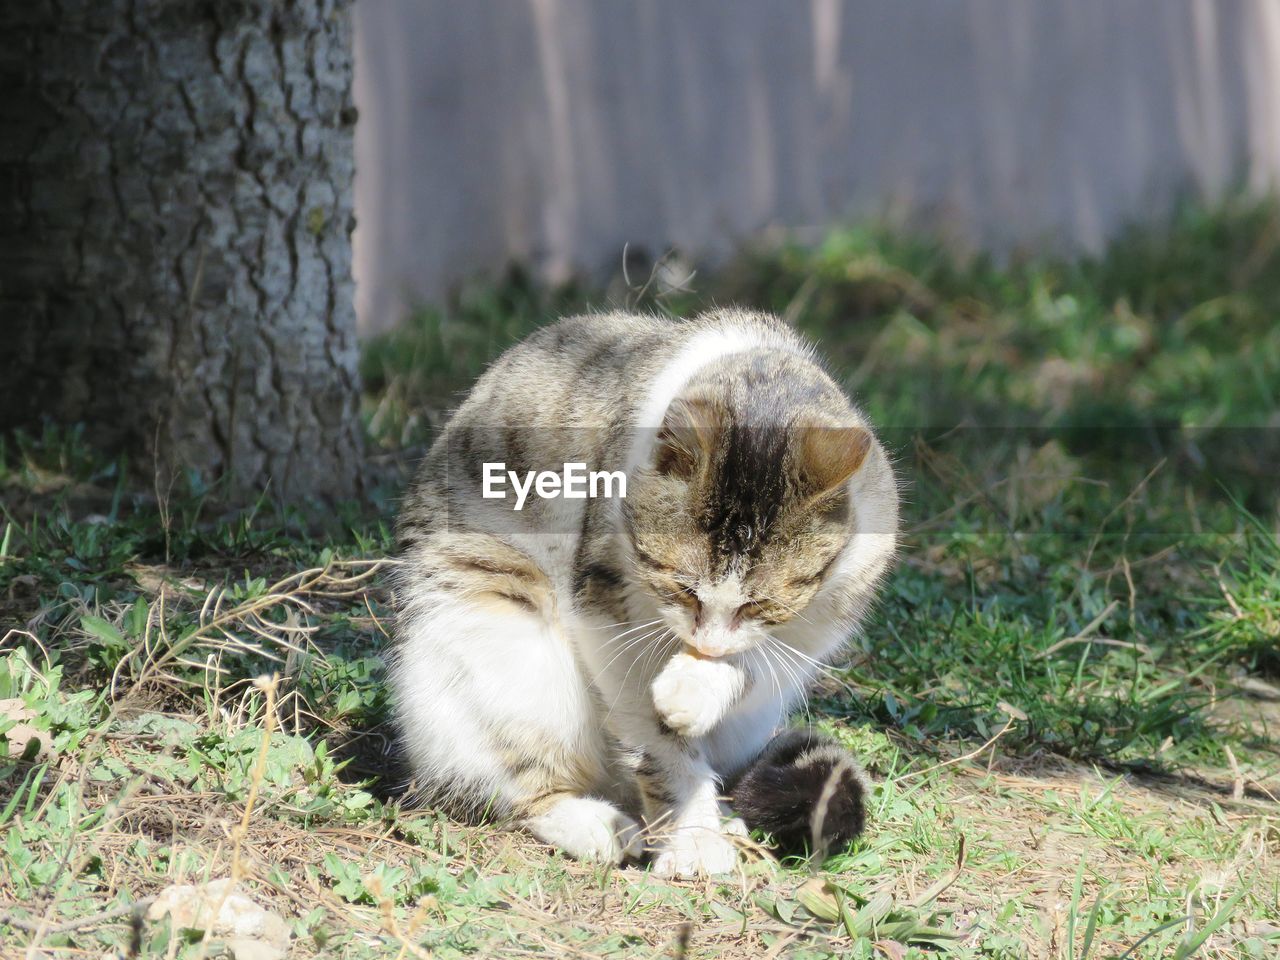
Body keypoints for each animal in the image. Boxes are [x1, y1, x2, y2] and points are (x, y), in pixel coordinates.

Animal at [384, 309, 896, 880]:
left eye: (760, 604)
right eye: (681, 586)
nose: (708, 644)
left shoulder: (822, 619)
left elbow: (758, 661)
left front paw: (696, 687)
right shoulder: (602, 603)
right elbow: (656, 738)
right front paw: (693, 837)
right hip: (494, 618)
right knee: (517, 780)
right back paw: (597, 825)